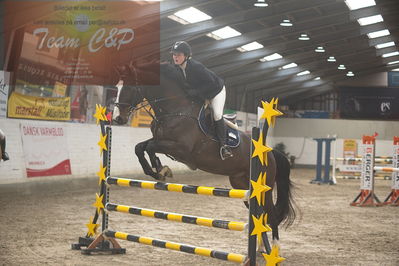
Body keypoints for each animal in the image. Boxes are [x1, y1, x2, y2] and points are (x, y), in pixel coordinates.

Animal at [111, 61, 296, 242]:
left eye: (129, 87)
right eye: (116, 88)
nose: (117, 119)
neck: (174, 109)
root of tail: (269, 151)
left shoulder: (181, 149)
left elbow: (149, 148)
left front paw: (161, 171)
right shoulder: (160, 141)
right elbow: (140, 147)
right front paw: (159, 170)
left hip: (263, 188)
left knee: (271, 216)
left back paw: (273, 247)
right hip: (240, 184)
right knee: (261, 216)